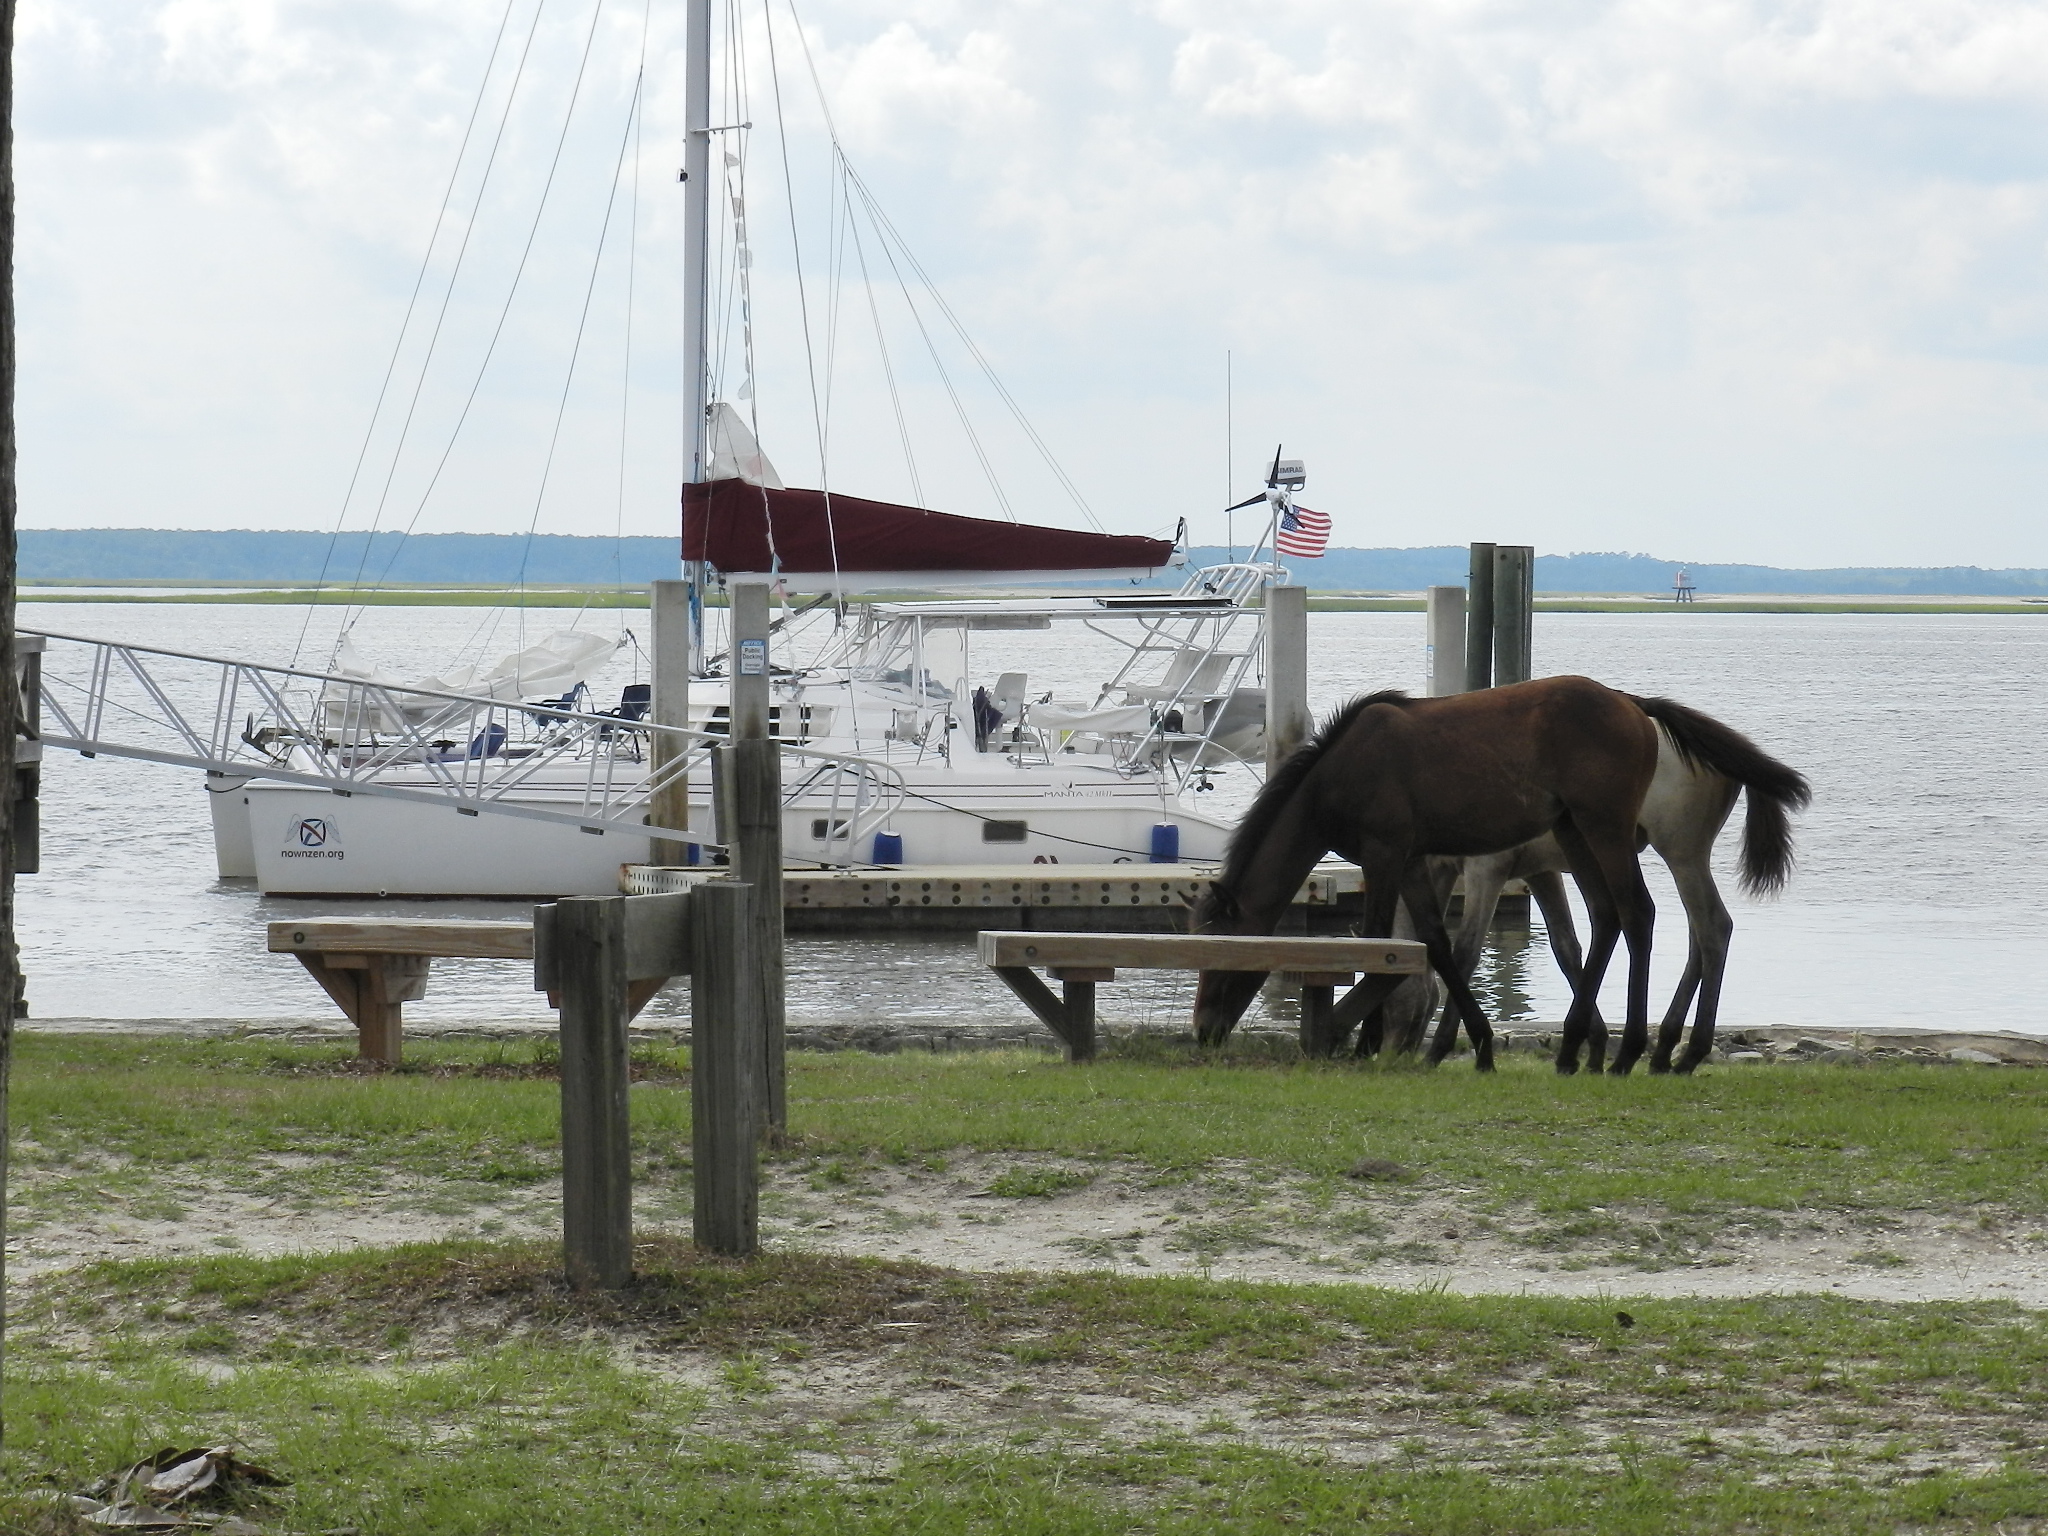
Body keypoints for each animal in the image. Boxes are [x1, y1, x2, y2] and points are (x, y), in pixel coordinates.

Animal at [1190, 675, 1662, 1072]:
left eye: (1220, 957)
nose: (1202, 1031)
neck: (1332, 781)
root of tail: (1633, 705)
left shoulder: (1382, 852)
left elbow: (1378, 941)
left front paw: (1360, 1039)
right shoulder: (1411, 860)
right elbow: (1435, 943)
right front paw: (1480, 1046)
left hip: (1605, 826)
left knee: (1637, 911)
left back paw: (1628, 1053)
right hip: (1573, 830)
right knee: (1606, 915)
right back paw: (1573, 1052)